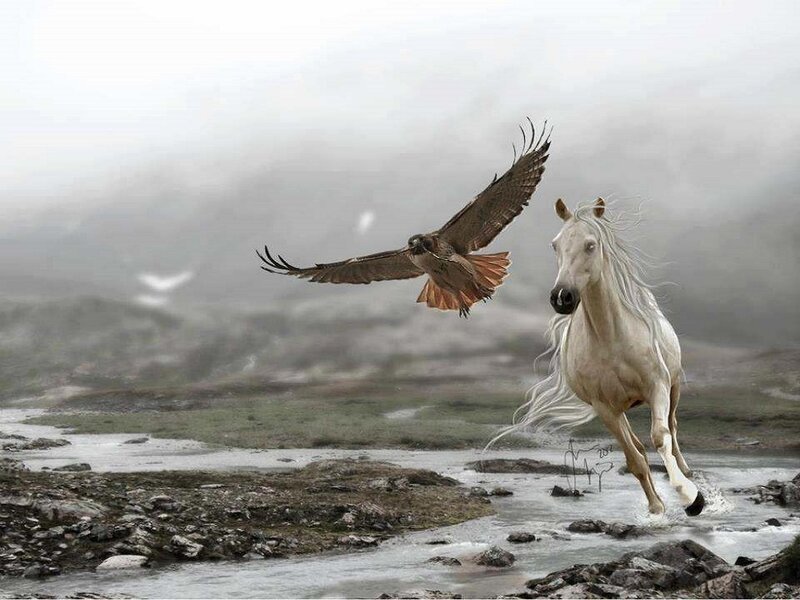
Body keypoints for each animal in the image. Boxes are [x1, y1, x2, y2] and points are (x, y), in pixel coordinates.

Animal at [500, 197, 704, 516]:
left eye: (590, 244)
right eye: (555, 245)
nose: (562, 297)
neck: (612, 340)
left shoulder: (657, 387)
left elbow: (661, 438)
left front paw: (691, 498)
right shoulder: (605, 408)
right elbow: (635, 460)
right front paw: (656, 507)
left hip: (674, 388)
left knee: (672, 427)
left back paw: (686, 471)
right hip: (622, 409)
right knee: (638, 445)